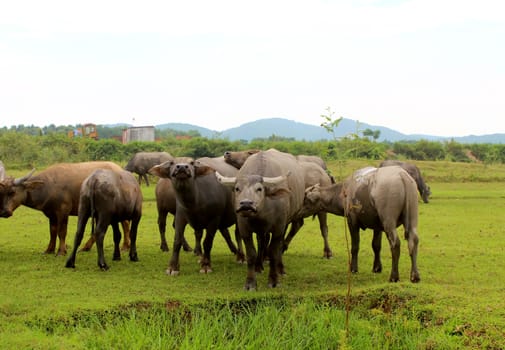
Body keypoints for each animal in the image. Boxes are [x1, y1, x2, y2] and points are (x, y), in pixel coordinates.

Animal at [216, 148, 304, 290]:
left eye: (259, 189)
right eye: (237, 188)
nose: (246, 204)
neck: (261, 213)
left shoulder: (278, 228)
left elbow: (274, 253)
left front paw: (274, 280)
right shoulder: (245, 229)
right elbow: (251, 254)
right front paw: (250, 283)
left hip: (286, 223)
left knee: (278, 246)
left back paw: (280, 268)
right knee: (262, 242)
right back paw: (259, 266)